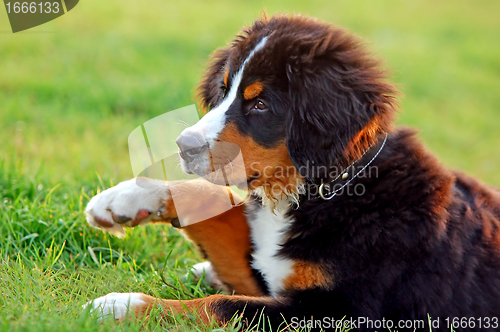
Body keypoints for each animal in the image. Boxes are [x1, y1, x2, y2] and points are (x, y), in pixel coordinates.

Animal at [84, 13, 500, 332]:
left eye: (261, 104)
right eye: (224, 90)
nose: (185, 146)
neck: (322, 192)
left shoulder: (339, 312)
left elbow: (219, 304)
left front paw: (121, 306)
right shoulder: (264, 271)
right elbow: (212, 201)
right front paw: (125, 198)